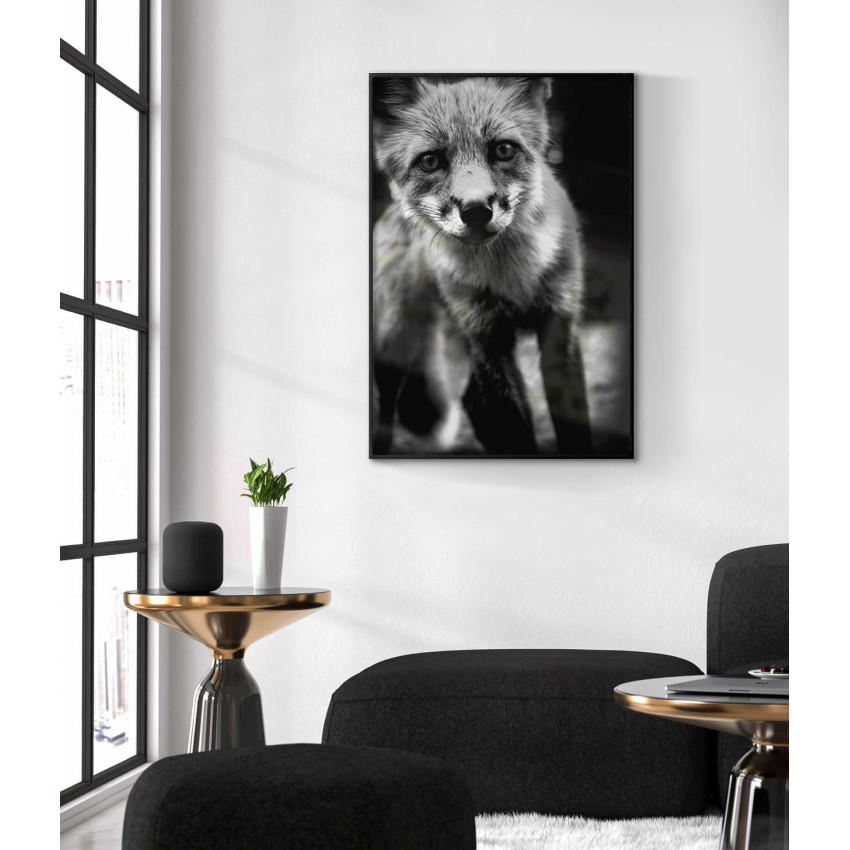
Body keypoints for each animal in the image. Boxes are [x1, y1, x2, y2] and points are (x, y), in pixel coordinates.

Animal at [371, 75, 592, 456]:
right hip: (396, 342)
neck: (512, 277)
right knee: (386, 410)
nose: (476, 211)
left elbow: (574, 430)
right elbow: (515, 432)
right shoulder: (487, 337)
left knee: (471, 402)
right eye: (430, 161)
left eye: (503, 150)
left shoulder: (559, 324)